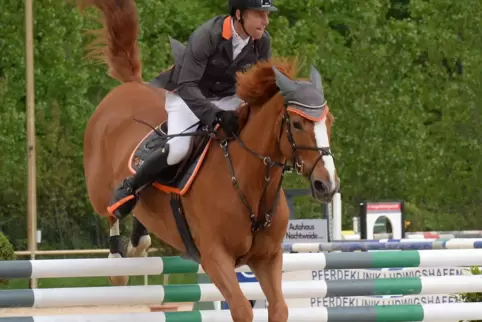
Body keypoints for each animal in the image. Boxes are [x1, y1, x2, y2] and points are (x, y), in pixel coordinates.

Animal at [78, 0, 338, 320]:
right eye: (298, 124)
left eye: (329, 122)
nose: (327, 184)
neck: (250, 184)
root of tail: (130, 86)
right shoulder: (215, 257)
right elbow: (242, 309)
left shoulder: (268, 258)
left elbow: (279, 308)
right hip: (99, 188)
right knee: (113, 209)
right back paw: (117, 258)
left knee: (139, 216)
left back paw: (138, 244)